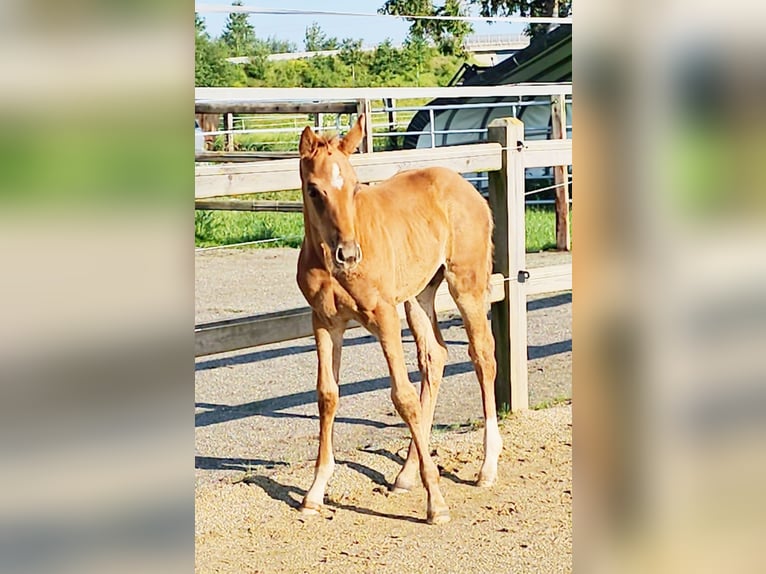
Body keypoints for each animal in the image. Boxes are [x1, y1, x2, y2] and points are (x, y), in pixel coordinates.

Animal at [296, 115, 504, 524]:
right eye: (314, 190)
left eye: (355, 186)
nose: (348, 254)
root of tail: (468, 188)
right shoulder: (325, 322)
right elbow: (327, 394)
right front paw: (314, 492)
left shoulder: (383, 316)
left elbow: (402, 396)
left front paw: (436, 503)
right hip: (419, 295)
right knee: (435, 356)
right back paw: (406, 474)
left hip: (466, 284)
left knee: (482, 355)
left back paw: (487, 467)